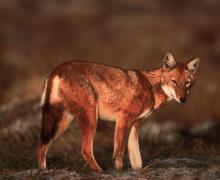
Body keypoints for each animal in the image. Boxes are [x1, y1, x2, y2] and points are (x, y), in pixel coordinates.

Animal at [37, 51, 199, 172]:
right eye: (174, 82)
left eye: (187, 83)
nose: (183, 99)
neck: (150, 87)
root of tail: (59, 68)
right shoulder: (123, 117)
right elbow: (119, 151)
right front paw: (119, 169)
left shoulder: (136, 123)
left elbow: (136, 157)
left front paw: (137, 170)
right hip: (91, 119)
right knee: (85, 149)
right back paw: (99, 171)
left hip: (63, 122)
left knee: (42, 144)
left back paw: (43, 170)